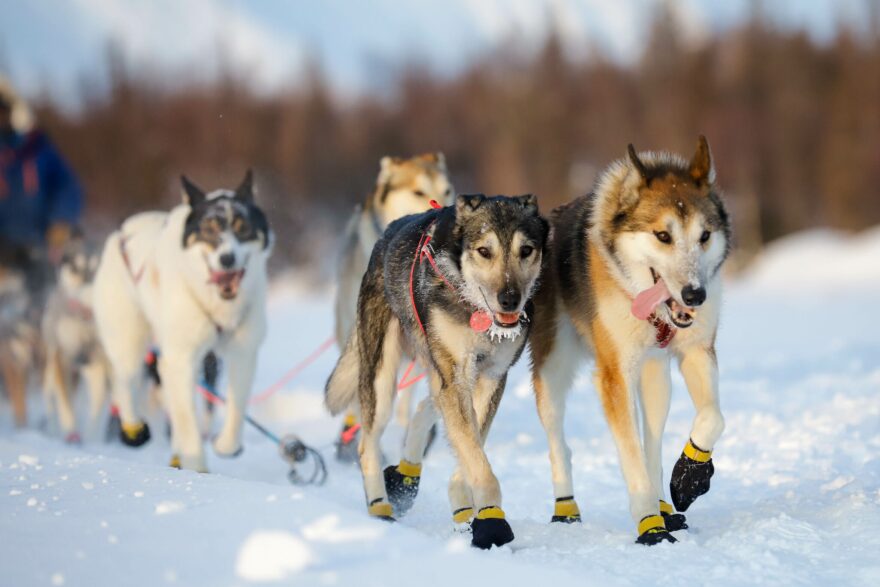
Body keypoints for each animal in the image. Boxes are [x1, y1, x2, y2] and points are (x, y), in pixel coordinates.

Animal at [326, 195, 548, 548]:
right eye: (484, 250)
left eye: (526, 250)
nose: (510, 299)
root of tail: (384, 237)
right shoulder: (455, 376)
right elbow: (477, 458)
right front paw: (493, 522)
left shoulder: (490, 376)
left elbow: (472, 447)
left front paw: (471, 508)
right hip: (383, 379)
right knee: (367, 443)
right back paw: (379, 507)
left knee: (426, 406)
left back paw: (407, 477)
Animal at [528, 138, 728, 548]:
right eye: (663, 236)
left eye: (704, 236)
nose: (695, 295)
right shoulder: (615, 374)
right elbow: (631, 455)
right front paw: (649, 525)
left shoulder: (697, 352)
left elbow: (712, 417)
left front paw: (690, 475)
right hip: (553, 371)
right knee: (559, 444)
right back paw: (565, 510)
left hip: (655, 375)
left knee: (653, 439)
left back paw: (667, 504)